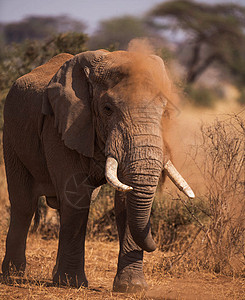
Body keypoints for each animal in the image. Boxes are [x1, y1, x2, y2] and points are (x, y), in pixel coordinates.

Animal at [1, 49, 193, 292]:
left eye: (165, 111)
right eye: (107, 109)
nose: (156, 245)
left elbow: (124, 199)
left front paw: (132, 287)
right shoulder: (61, 126)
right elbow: (77, 196)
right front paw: (72, 283)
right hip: (11, 135)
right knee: (24, 205)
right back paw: (13, 276)